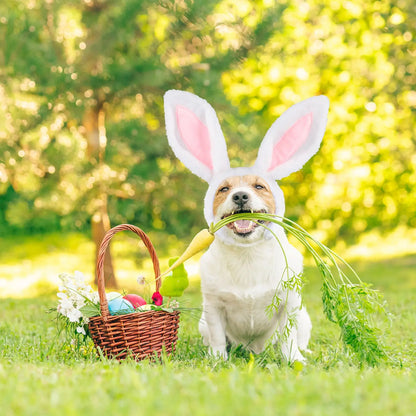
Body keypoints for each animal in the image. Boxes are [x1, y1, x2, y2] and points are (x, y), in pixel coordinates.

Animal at [162, 90, 328, 360]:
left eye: (259, 186)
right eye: (223, 189)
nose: (240, 196)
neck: (247, 253)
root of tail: (254, 350)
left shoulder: (289, 303)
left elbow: (288, 338)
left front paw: (293, 359)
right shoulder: (213, 307)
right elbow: (218, 338)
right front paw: (217, 359)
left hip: (304, 316)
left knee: (298, 338)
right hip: (203, 323)